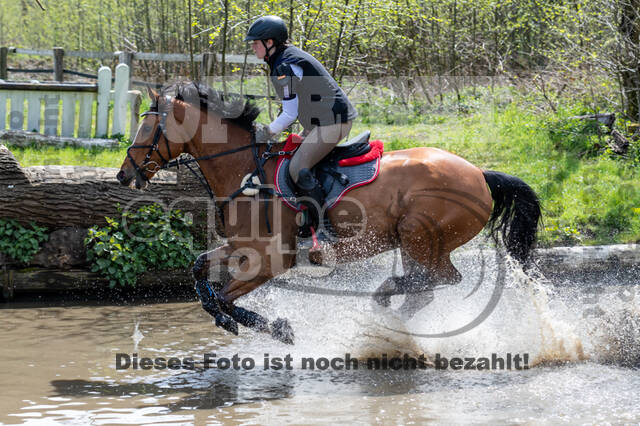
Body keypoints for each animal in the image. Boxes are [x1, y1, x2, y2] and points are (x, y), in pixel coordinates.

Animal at [116, 81, 540, 344]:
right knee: (426, 288)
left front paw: (279, 329)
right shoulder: (242, 247)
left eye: (147, 129)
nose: (124, 175)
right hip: (416, 243)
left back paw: (383, 302)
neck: (245, 171)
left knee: (440, 279)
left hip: (420, 234)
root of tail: (480, 174)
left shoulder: (270, 260)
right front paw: (233, 321)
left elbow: (223, 297)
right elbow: (201, 271)